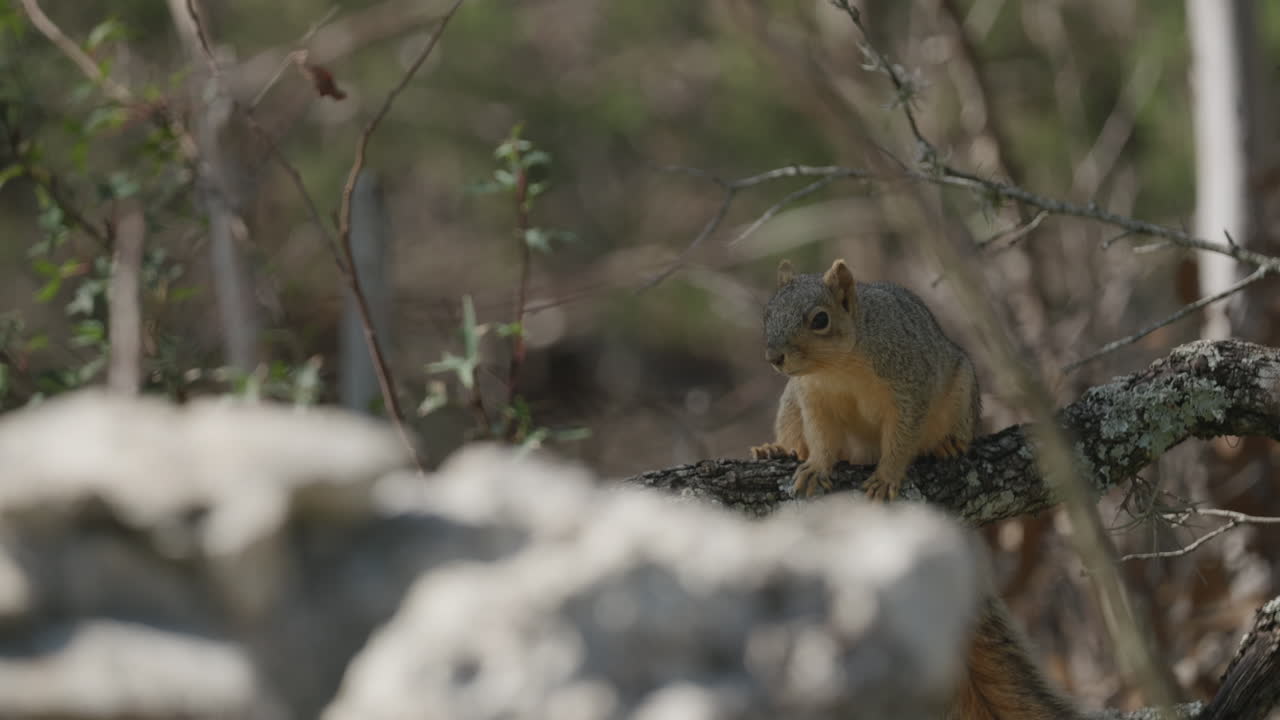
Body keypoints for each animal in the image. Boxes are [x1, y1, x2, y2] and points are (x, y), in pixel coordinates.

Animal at [751, 258, 1080, 720]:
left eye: (819, 320)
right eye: (768, 313)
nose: (774, 357)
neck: (836, 368)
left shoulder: (909, 385)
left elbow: (902, 436)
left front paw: (887, 477)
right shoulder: (812, 399)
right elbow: (821, 440)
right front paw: (815, 467)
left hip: (961, 387)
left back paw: (948, 445)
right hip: (788, 403)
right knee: (794, 433)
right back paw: (775, 448)